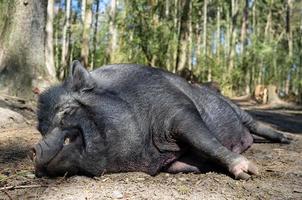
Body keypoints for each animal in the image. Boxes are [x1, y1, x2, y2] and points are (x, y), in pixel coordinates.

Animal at [32, 61, 290, 180]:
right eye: (42, 129)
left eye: (65, 112)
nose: (34, 149)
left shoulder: (179, 111)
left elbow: (206, 140)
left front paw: (250, 173)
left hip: (235, 107)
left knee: (255, 123)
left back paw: (285, 140)